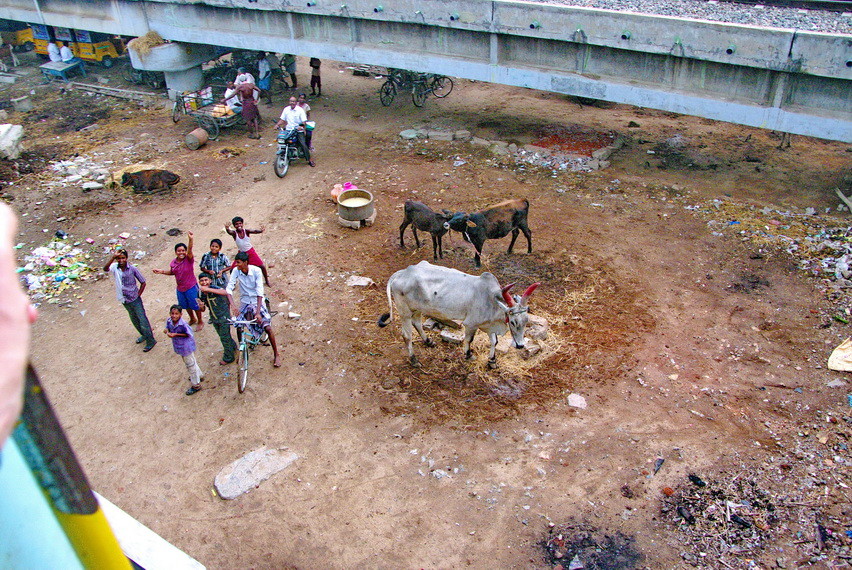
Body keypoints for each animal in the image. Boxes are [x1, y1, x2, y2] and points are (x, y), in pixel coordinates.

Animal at [378, 260, 540, 366]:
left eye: (526, 321)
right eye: (513, 321)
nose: (520, 345)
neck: (492, 299)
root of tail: (402, 272)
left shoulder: (488, 325)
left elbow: (494, 341)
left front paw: (492, 361)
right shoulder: (471, 324)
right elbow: (469, 340)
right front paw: (468, 355)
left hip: (417, 308)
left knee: (417, 322)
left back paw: (429, 341)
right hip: (404, 311)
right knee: (407, 336)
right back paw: (414, 360)